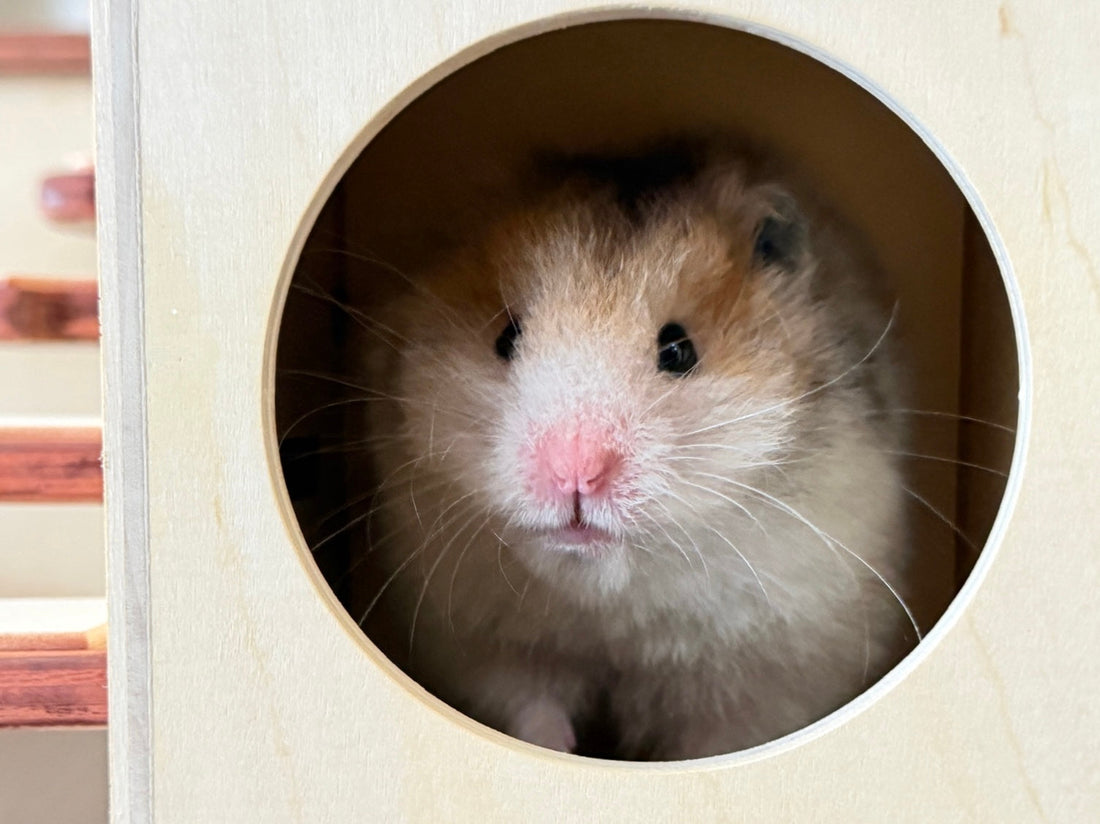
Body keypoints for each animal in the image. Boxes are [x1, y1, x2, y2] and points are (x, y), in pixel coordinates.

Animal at [348, 142, 915, 760]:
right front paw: (560, 750)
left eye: (678, 350)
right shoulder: (484, 645)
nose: (574, 475)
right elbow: (532, 710)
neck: (608, 604)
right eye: (507, 338)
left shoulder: (767, 674)